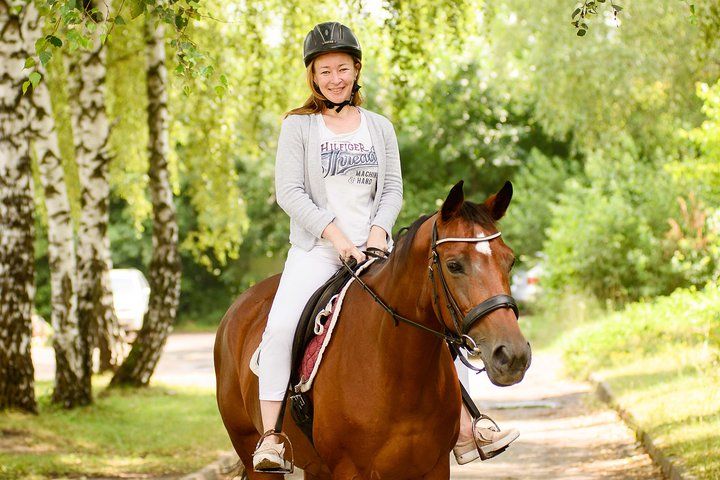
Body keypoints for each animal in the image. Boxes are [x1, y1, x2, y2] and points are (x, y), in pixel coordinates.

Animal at [214, 180, 532, 479]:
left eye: (510, 260)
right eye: (454, 265)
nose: (513, 355)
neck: (397, 369)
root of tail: (239, 305)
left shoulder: (435, 467)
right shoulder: (350, 470)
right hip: (252, 452)